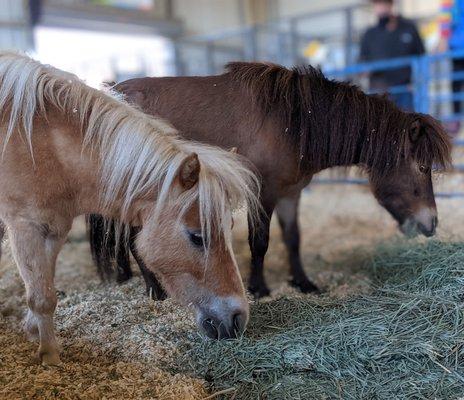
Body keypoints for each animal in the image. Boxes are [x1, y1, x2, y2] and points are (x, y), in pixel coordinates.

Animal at [0, 53, 260, 366]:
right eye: (198, 237)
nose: (238, 319)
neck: (43, 144)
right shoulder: (24, 227)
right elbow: (41, 296)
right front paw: (50, 357)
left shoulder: (54, 230)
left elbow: (43, 287)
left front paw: (32, 331)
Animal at [89, 62, 452, 298]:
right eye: (423, 167)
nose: (432, 223)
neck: (295, 123)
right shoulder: (262, 194)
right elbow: (260, 242)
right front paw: (259, 288)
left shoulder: (291, 194)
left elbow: (293, 238)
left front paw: (303, 283)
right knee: (133, 238)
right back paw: (154, 289)